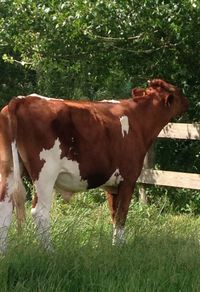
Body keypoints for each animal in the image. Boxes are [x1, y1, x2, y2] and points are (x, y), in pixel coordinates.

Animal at [0, 78, 188, 252]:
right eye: (178, 91)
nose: (188, 101)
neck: (139, 120)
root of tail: (22, 99)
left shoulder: (112, 185)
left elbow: (114, 215)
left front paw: (115, 246)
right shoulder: (128, 179)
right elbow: (121, 215)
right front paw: (120, 248)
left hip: (8, 169)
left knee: (5, 207)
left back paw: (4, 253)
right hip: (45, 173)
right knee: (39, 211)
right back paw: (49, 252)